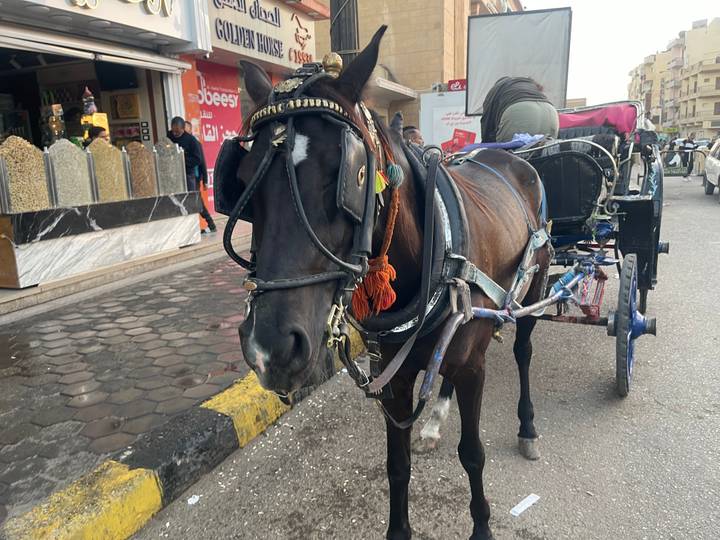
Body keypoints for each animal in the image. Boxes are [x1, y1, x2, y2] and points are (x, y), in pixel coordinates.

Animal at [232, 26, 550, 540]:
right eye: (242, 181)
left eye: (349, 175)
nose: (269, 349)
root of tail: (508, 156)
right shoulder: (394, 379)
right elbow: (396, 466)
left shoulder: (474, 369)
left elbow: (472, 454)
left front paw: (482, 525)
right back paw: (435, 419)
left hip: (534, 289)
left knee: (523, 350)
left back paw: (527, 425)